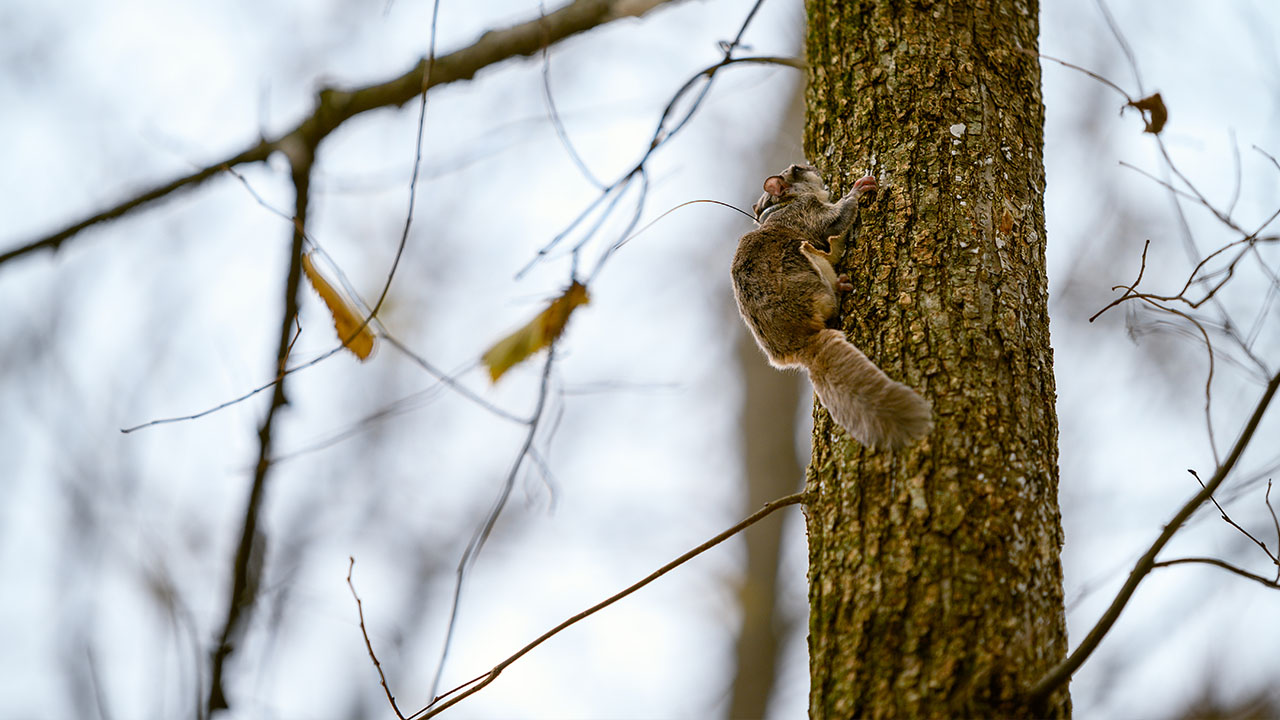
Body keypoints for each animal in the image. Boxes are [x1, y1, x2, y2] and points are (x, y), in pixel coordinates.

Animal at [732, 163, 931, 445]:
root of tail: (803, 344)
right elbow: (836, 220)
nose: (814, 166)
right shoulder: (808, 213)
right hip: (809, 267)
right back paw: (841, 288)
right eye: (796, 169)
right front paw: (858, 189)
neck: (780, 205)